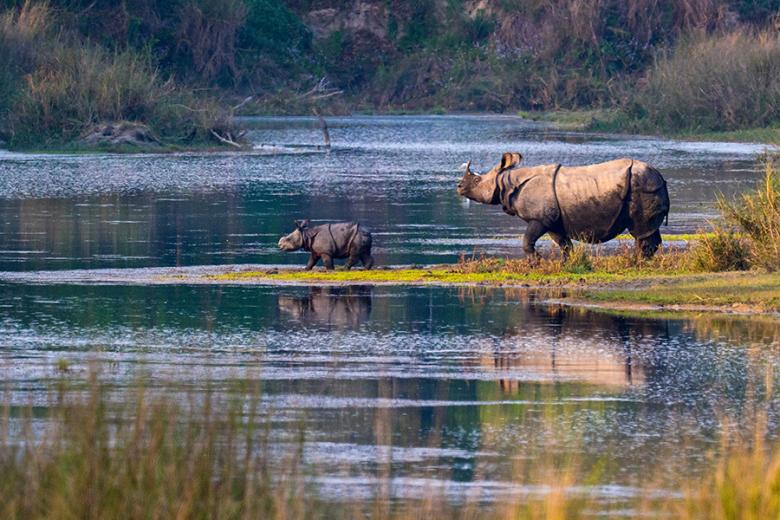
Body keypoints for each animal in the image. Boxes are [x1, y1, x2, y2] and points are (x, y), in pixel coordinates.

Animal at [456, 152, 670, 258]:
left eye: (477, 181)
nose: (459, 187)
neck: (506, 181)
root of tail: (661, 177)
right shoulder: (553, 220)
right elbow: (565, 245)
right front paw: (567, 264)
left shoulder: (540, 218)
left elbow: (527, 241)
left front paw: (536, 263)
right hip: (648, 185)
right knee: (648, 231)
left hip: (642, 186)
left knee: (640, 231)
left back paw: (636, 263)